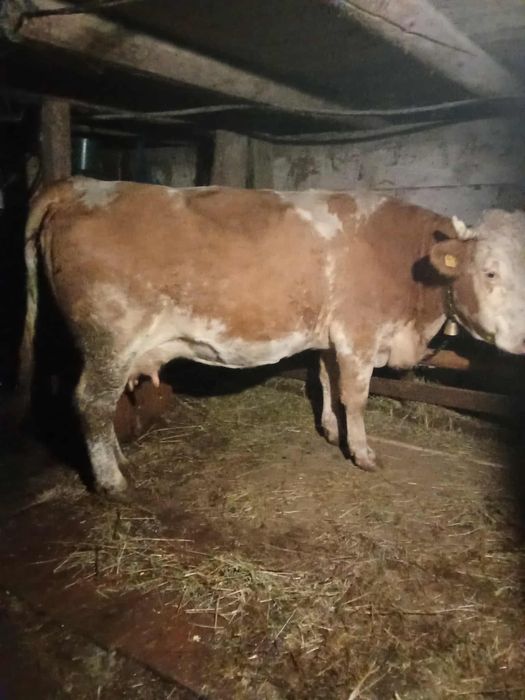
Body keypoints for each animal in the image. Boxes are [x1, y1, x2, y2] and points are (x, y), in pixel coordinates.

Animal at [15, 177, 525, 497]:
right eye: (490, 271)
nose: (522, 340)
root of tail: (82, 183)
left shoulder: (330, 337)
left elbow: (325, 381)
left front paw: (330, 431)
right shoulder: (358, 333)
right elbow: (356, 396)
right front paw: (361, 452)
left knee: (105, 402)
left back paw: (120, 461)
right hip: (109, 337)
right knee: (91, 402)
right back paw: (112, 481)